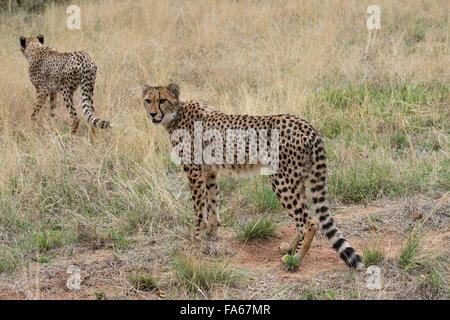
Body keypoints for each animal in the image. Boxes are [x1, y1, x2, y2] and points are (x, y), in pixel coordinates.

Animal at [142, 83, 364, 270]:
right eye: (148, 100)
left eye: (162, 100)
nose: (152, 114)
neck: (176, 114)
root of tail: (307, 126)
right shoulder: (210, 171)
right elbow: (213, 203)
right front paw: (212, 234)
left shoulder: (194, 171)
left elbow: (199, 209)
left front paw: (197, 237)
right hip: (296, 180)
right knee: (303, 219)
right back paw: (289, 249)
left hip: (281, 181)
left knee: (309, 223)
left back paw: (295, 260)